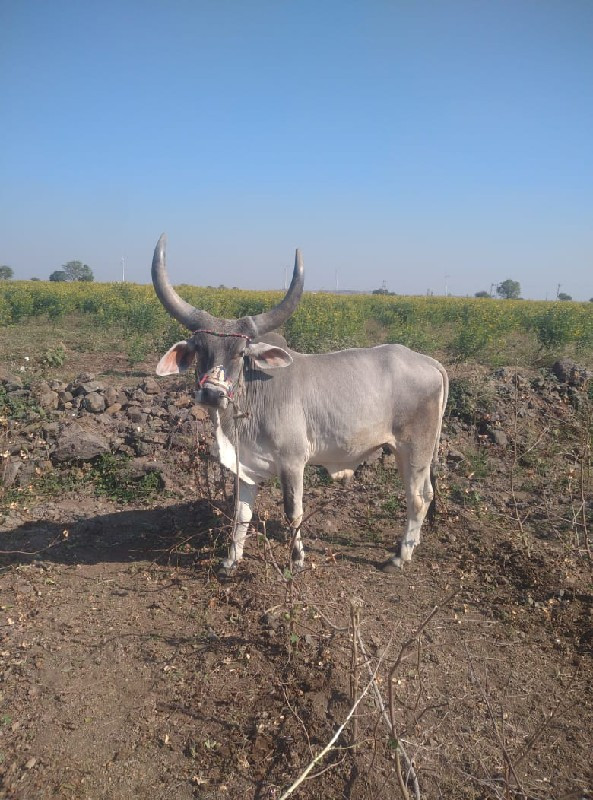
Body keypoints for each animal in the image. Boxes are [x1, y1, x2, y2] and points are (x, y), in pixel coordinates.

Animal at [150, 234, 446, 572]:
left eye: (241, 352)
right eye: (200, 349)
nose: (212, 393)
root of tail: (428, 362)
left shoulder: (293, 463)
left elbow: (293, 512)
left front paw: (297, 559)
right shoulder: (245, 467)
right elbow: (241, 513)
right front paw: (231, 559)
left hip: (416, 449)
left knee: (418, 498)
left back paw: (400, 556)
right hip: (406, 452)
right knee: (424, 495)